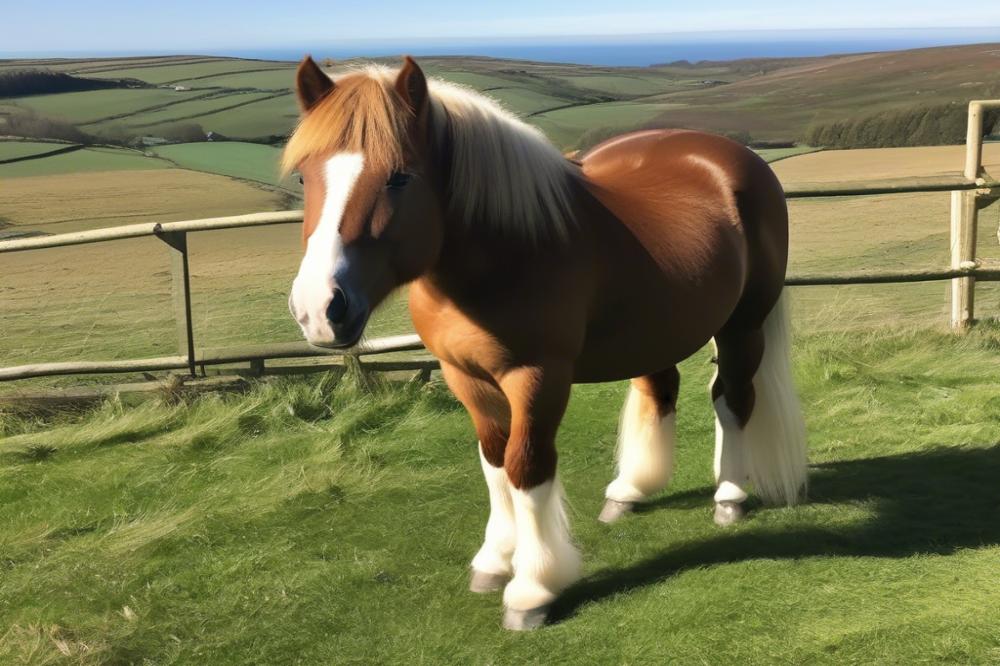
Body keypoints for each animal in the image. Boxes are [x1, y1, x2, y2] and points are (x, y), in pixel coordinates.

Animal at [280, 55, 804, 628]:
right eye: (305, 174)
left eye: (399, 176)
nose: (320, 309)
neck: (503, 251)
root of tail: (734, 157)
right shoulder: (465, 376)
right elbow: (494, 464)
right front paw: (494, 561)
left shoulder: (537, 377)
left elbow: (525, 467)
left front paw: (531, 589)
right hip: (655, 329)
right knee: (661, 390)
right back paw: (630, 490)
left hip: (742, 325)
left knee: (732, 400)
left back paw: (729, 494)